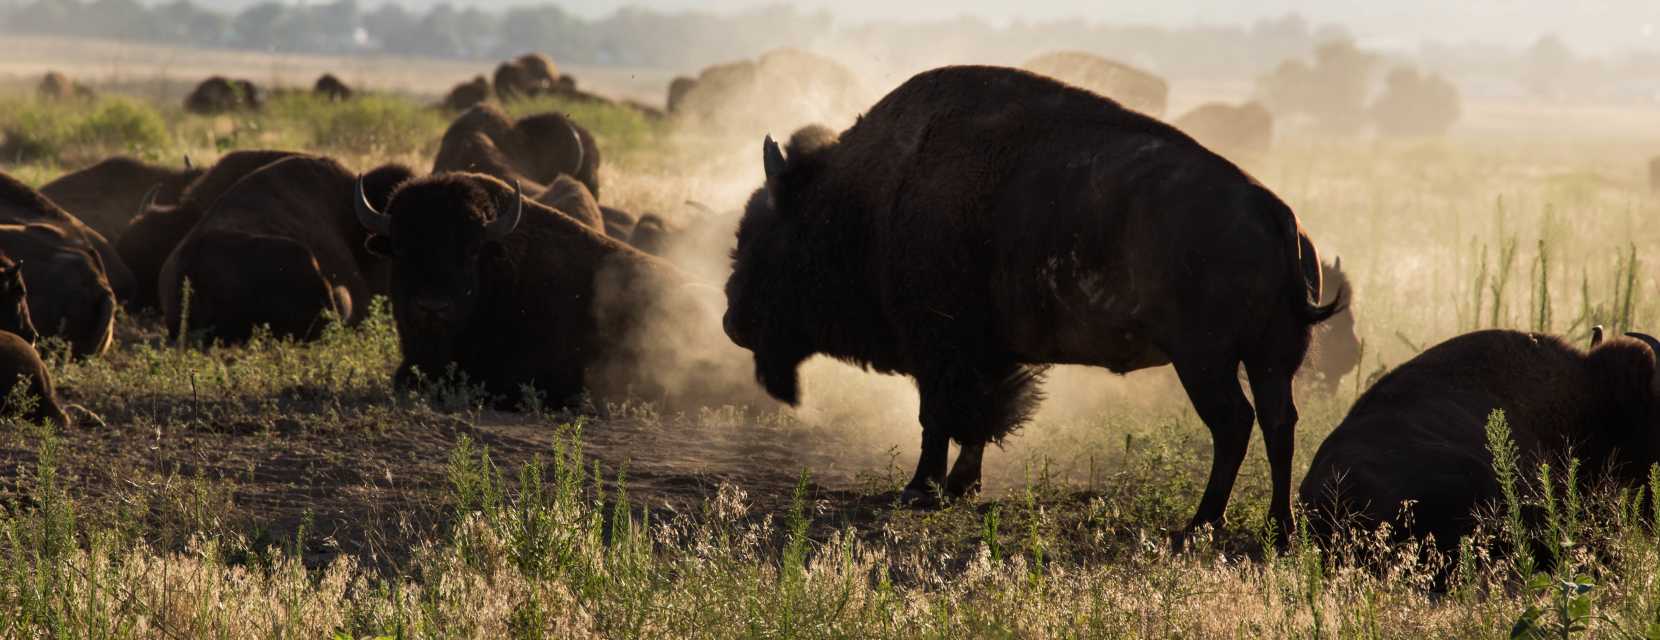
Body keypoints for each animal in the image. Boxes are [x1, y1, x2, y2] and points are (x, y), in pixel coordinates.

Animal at [722, 66, 1340, 538]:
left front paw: (921, 489)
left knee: (1234, 424)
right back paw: (1276, 530)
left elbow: (938, 419)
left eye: (762, 236)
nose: (731, 320)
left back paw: (1200, 525)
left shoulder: (942, 352)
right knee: (1278, 424)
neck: (870, 196)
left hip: (1204, 362)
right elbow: (973, 422)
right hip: (1270, 360)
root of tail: (1277, 215)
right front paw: (959, 486)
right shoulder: (985, 358)